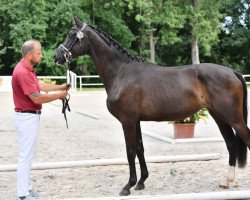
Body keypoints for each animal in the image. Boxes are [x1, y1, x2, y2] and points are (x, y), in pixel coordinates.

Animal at [54, 16, 250, 196]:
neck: (121, 72)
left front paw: (128, 186)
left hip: (234, 118)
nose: (56, 56)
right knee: (231, 144)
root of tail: (233, 72)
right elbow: (140, 149)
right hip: (219, 116)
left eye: (71, 34)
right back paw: (226, 181)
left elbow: (130, 151)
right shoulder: (136, 121)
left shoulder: (127, 121)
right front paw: (141, 182)